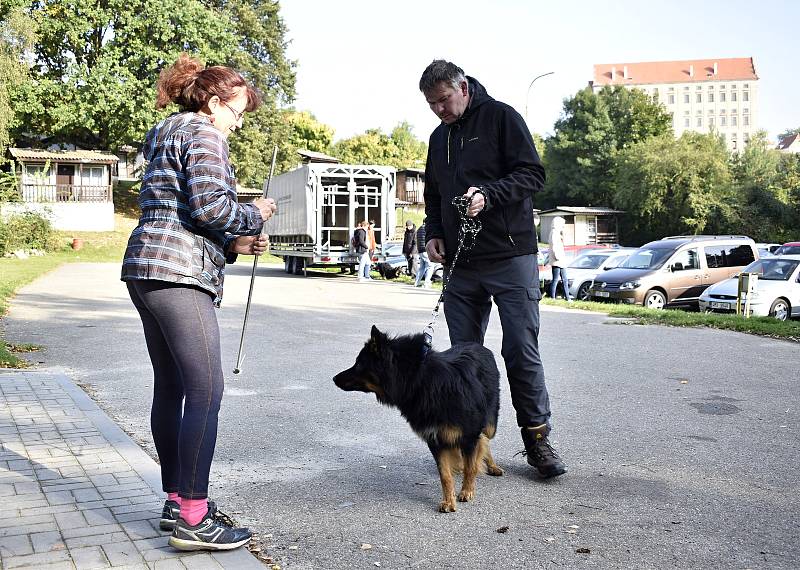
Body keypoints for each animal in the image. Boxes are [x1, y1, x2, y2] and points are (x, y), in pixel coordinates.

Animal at [334, 324, 504, 510]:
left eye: (358, 364)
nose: (334, 378)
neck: (420, 379)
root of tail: (479, 346)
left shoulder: (469, 435)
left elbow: (470, 467)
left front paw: (467, 491)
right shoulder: (434, 438)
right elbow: (445, 475)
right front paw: (448, 500)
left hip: (490, 424)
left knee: (485, 440)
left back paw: (492, 466)